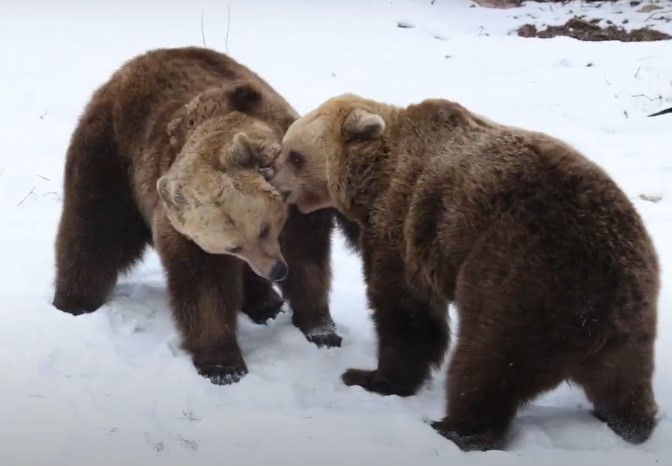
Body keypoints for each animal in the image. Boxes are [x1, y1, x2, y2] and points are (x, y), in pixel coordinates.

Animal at [51, 47, 356, 384]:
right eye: (233, 246)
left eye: (264, 228)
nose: (276, 271)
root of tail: (129, 66)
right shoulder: (187, 233)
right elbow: (204, 289)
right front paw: (223, 365)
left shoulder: (298, 198)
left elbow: (307, 260)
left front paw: (321, 329)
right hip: (110, 157)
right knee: (95, 227)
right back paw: (75, 301)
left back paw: (266, 302)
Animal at [270, 92, 660, 452]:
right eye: (286, 149)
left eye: (295, 155)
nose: (272, 177)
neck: (373, 180)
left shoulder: (404, 227)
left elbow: (406, 312)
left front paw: (373, 377)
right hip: (632, 316)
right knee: (625, 379)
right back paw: (629, 422)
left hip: (522, 282)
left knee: (486, 361)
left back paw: (455, 428)